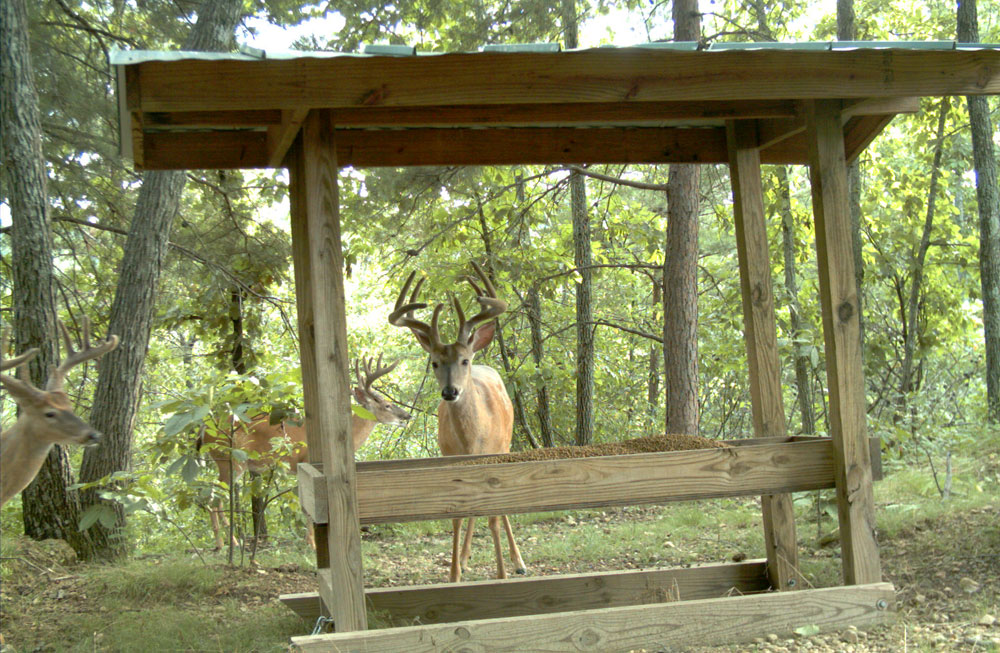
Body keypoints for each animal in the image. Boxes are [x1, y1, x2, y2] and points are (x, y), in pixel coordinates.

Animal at [200, 354, 410, 548]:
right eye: (387, 405)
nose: (407, 416)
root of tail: (205, 431)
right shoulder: (309, 462)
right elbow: (311, 506)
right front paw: (313, 543)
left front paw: (309, 541)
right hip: (230, 460)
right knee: (213, 497)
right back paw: (226, 542)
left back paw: (229, 541)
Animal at [388, 260, 528, 580]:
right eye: (434, 363)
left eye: (464, 360)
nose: (450, 391)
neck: (472, 439)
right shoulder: (449, 459)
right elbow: (457, 515)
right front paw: (454, 575)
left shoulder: (493, 456)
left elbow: (494, 516)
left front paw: (501, 574)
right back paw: (464, 558)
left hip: (506, 444)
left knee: (500, 509)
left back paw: (518, 561)